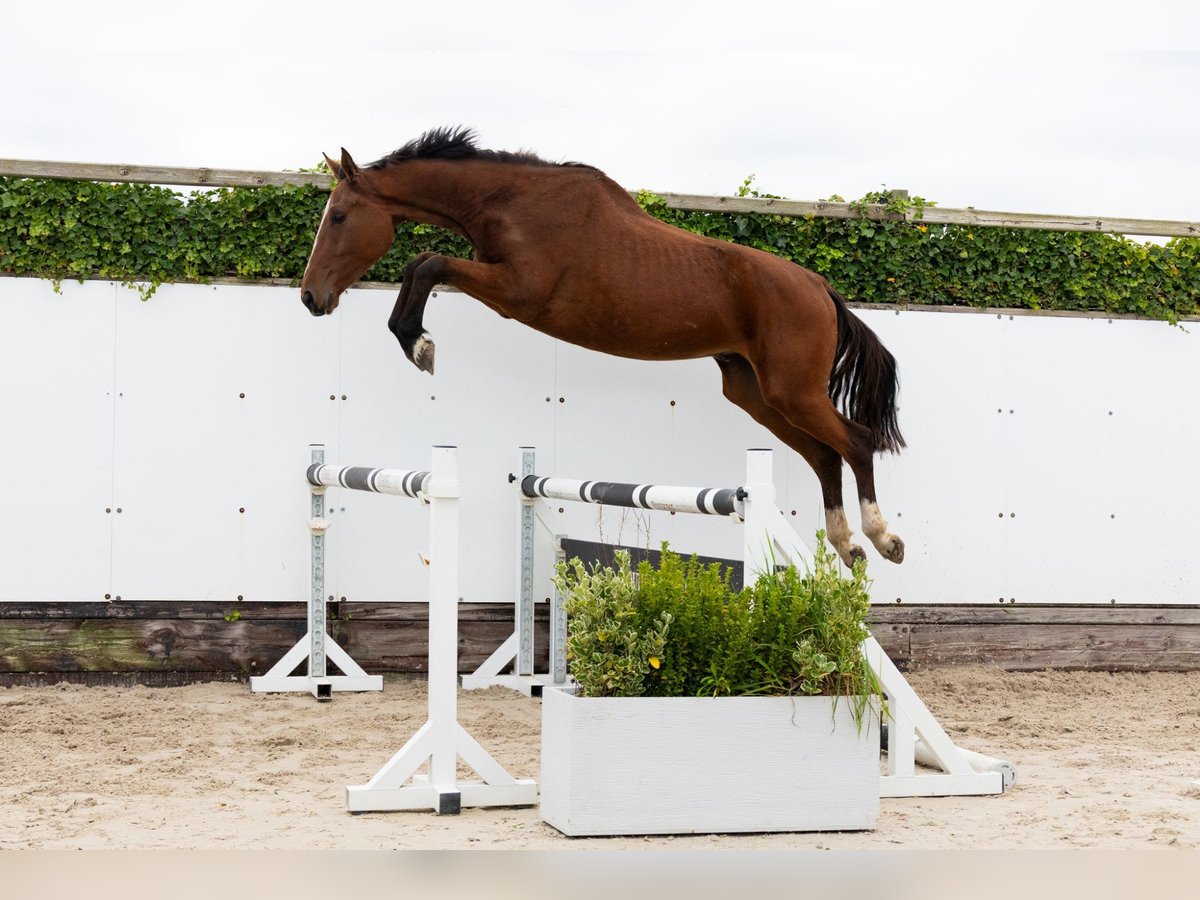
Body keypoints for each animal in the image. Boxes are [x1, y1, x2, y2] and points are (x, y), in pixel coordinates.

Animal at [300, 126, 906, 566]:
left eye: (339, 216)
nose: (311, 297)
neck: (512, 201)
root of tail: (820, 288)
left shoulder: (517, 293)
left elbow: (425, 263)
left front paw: (418, 343)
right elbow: (422, 264)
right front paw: (414, 339)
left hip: (792, 391)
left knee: (857, 442)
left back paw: (882, 538)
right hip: (757, 394)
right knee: (825, 456)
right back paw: (847, 545)